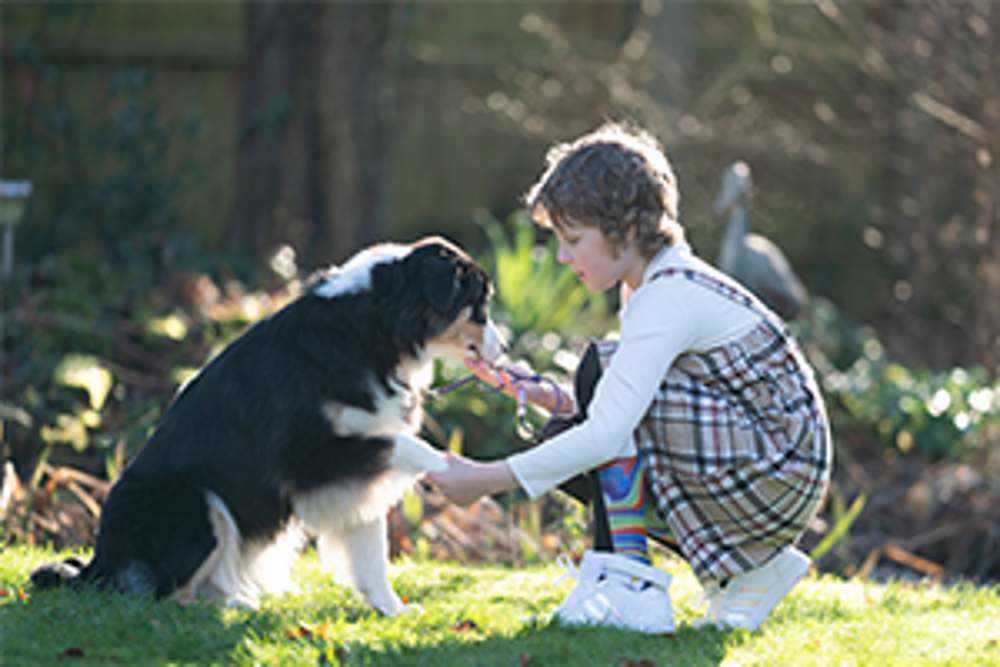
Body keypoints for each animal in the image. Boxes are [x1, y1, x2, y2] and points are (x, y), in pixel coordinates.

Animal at [32, 236, 504, 616]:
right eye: (481, 305)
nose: (504, 347)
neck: (374, 328)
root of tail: (99, 562)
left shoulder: (354, 476)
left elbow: (371, 554)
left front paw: (393, 611)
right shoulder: (306, 457)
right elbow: (402, 444)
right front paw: (444, 467)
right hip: (196, 507)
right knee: (157, 594)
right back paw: (235, 605)